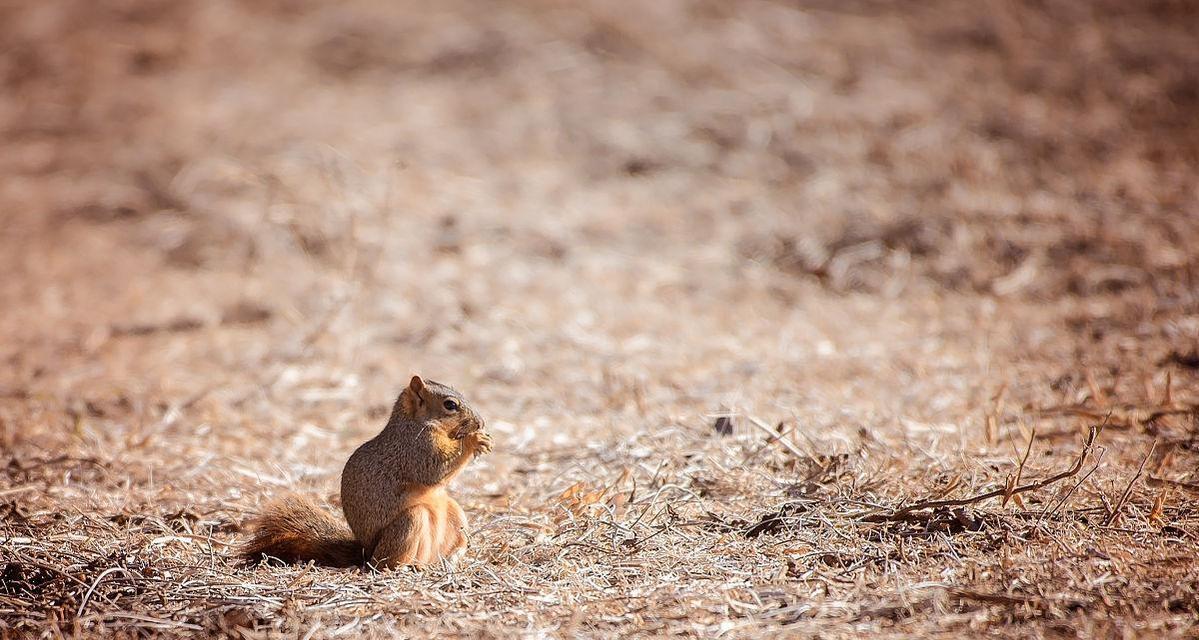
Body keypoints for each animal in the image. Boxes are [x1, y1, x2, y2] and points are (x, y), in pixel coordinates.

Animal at [242, 376, 491, 572]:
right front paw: (474, 440)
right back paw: (402, 568)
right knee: (383, 563)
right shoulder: (415, 449)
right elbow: (434, 470)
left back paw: (450, 561)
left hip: (455, 514)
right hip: (408, 523)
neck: (415, 423)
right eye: (450, 404)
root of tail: (366, 552)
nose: (480, 422)